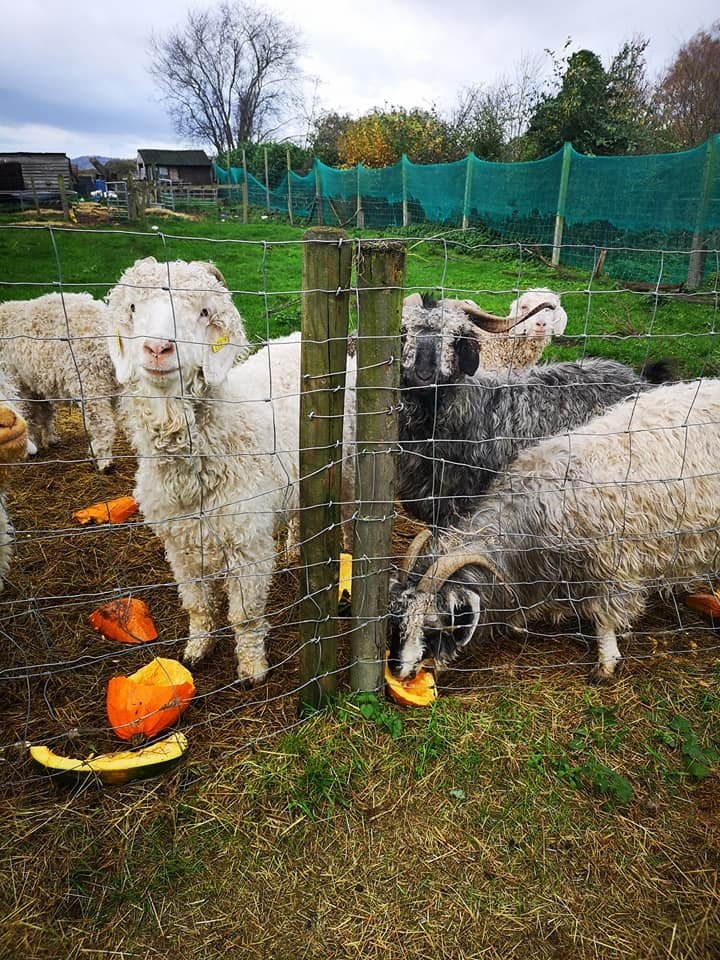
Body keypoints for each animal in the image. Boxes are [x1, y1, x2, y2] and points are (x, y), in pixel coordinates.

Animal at [0, 294, 118, 470]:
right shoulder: (34, 385)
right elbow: (45, 413)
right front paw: (50, 439)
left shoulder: (15, 382)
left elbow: (25, 415)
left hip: (91, 385)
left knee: (103, 425)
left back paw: (103, 462)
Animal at [106, 258, 298, 688]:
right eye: (132, 308)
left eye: (204, 312)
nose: (158, 348)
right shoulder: (179, 545)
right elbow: (196, 604)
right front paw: (197, 649)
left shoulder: (247, 546)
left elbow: (245, 616)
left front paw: (252, 669)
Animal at [390, 376, 720, 684]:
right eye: (398, 616)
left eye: (432, 624)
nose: (396, 669)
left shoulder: (612, 567)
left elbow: (605, 619)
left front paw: (606, 663)